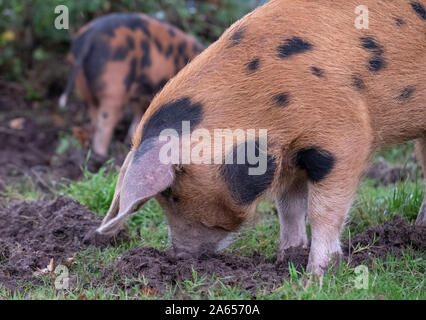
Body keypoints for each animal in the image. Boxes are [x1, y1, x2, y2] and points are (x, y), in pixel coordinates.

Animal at [59, 12, 205, 156]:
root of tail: (90, 36)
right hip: (114, 85)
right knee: (106, 121)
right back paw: (102, 155)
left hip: (82, 83)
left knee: (94, 112)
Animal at [96, 0, 426, 276]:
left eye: (171, 194)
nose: (179, 256)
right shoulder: (290, 155)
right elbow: (289, 207)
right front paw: (286, 259)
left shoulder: (343, 137)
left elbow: (323, 210)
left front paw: (315, 276)